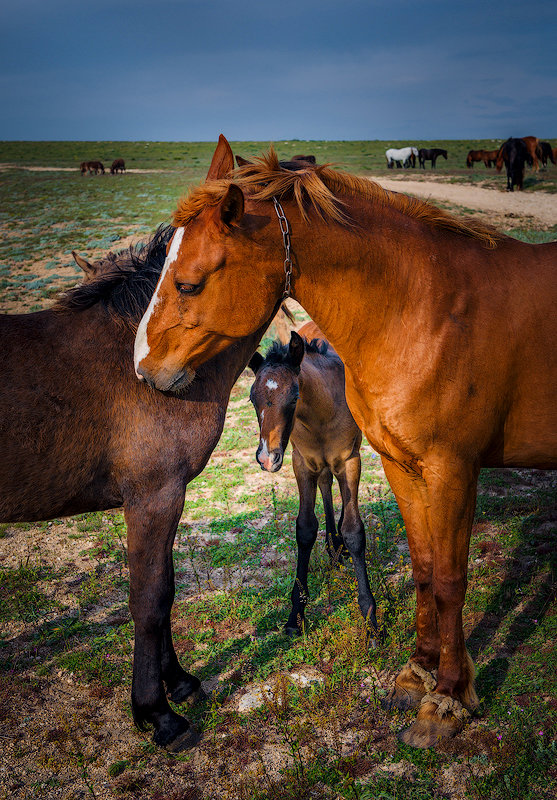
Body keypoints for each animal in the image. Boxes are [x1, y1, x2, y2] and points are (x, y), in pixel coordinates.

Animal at [249, 322, 376, 640]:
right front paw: (296, 615)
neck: (321, 413)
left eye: (294, 396)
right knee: (326, 484)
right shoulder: (301, 463)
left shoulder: (350, 460)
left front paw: (370, 619)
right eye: (252, 398)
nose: (267, 457)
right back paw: (333, 546)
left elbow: (354, 530)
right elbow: (305, 529)